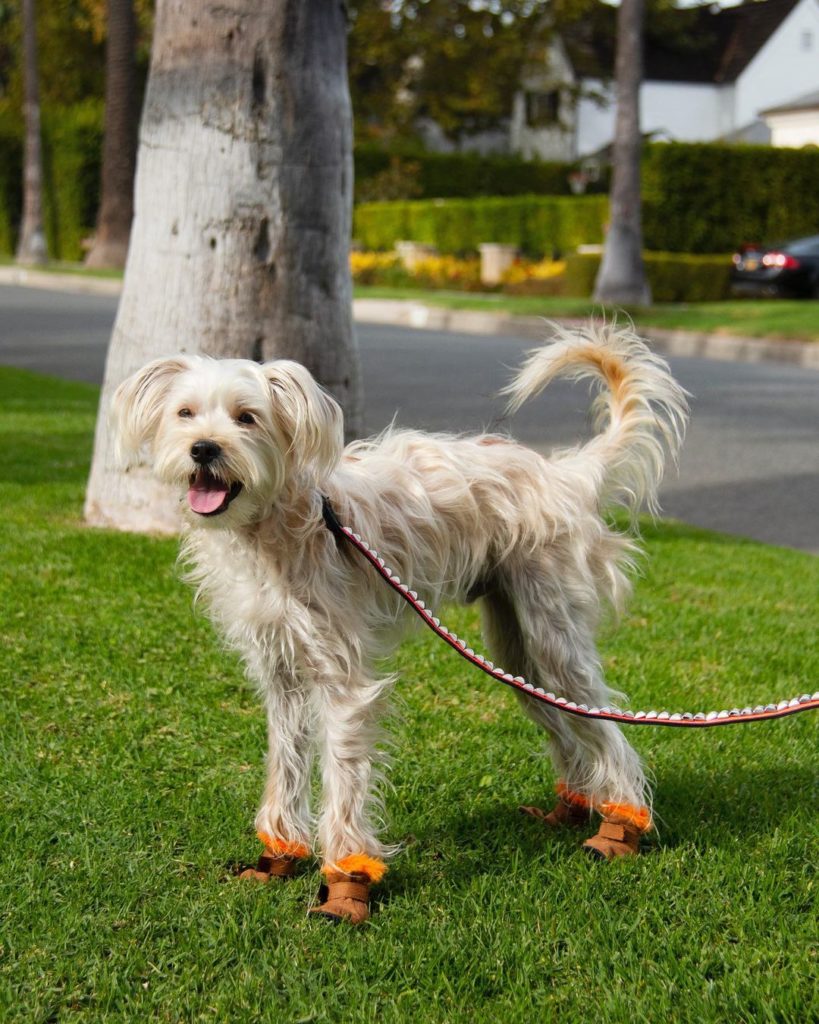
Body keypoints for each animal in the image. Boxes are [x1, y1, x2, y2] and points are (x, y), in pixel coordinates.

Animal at [112, 323, 687, 925]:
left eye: (246, 417)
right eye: (184, 413)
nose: (204, 448)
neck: (278, 527)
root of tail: (565, 474)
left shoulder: (344, 684)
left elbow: (343, 778)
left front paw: (346, 882)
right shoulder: (282, 675)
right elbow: (285, 764)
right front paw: (280, 855)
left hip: (554, 639)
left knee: (602, 722)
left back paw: (621, 824)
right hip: (516, 654)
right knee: (563, 718)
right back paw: (573, 808)